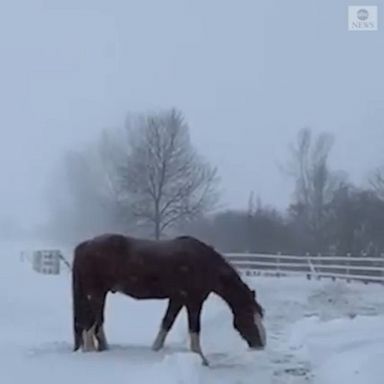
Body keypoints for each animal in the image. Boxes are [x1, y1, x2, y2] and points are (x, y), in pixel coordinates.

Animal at [71, 232, 264, 364]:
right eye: (249, 317)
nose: (261, 345)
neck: (204, 263)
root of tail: (85, 245)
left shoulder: (177, 300)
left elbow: (167, 322)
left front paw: (155, 349)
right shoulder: (194, 302)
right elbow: (194, 328)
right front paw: (201, 358)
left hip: (98, 295)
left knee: (95, 322)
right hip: (96, 294)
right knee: (91, 324)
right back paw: (91, 352)